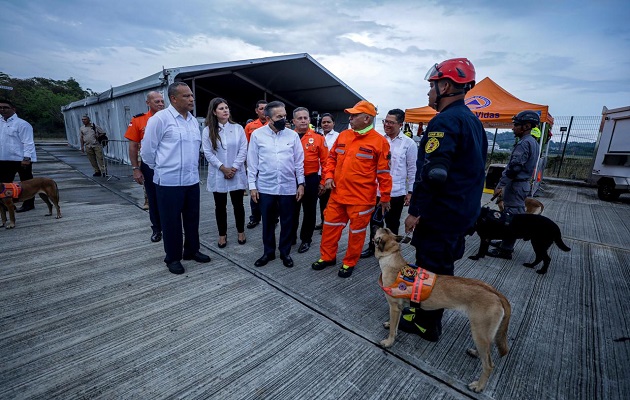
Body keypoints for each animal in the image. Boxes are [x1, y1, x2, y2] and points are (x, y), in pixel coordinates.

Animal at [376, 227, 512, 392]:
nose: (377, 223)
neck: (392, 258)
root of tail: (496, 293)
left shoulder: (394, 307)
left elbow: (392, 331)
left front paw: (389, 342)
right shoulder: (399, 307)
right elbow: (394, 326)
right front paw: (391, 326)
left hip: (479, 331)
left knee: (489, 365)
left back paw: (479, 386)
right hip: (484, 333)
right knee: (487, 350)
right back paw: (475, 353)